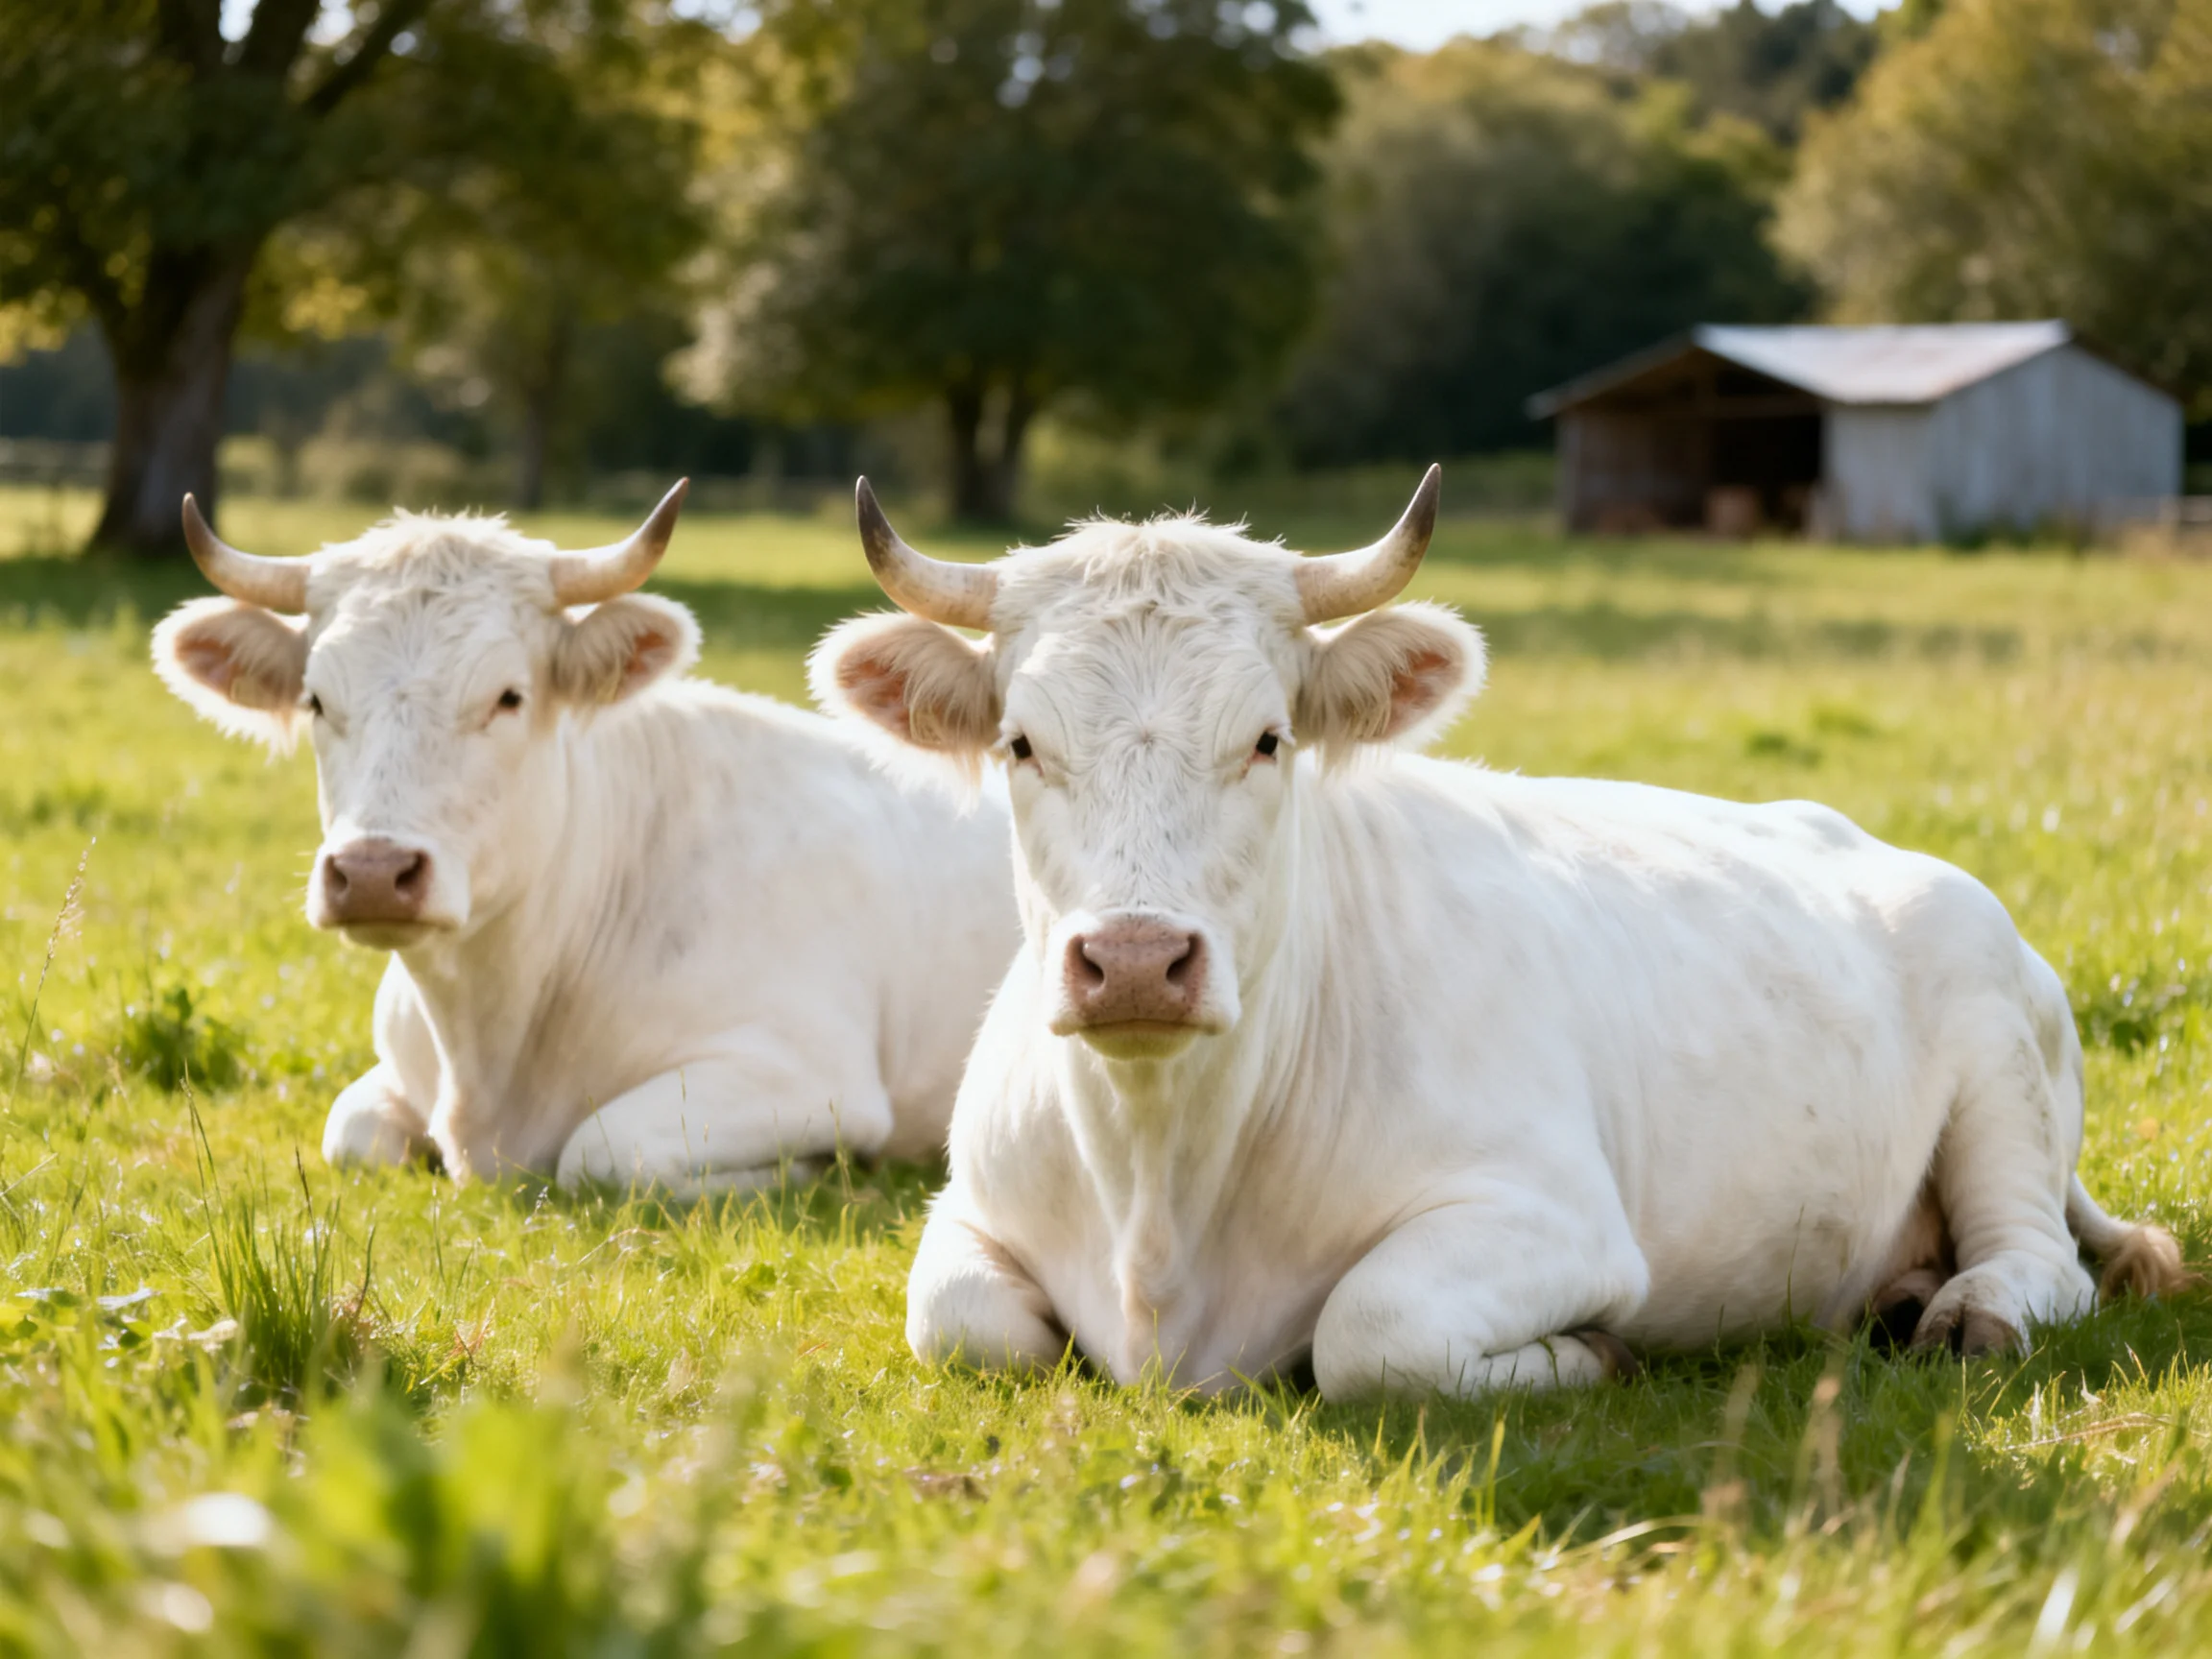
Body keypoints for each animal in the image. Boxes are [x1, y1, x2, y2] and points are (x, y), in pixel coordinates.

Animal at [152, 484, 1018, 1197]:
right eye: (316, 700)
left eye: (508, 696)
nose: (371, 871)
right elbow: (353, 1134)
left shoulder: (807, 1070)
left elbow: (602, 1152)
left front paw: (809, 1172)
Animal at [810, 468, 2188, 1398]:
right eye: (1020, 744)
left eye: (1267, 739)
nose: (1138, 960)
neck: (1161, 1191)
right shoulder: (967, 1215)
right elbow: (965, 1323)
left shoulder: (1559, 1219)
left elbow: (1375, 1333)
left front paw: (1591, 1355)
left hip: (2002, 1074)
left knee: (2041, 1261)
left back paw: (1965, 1313)